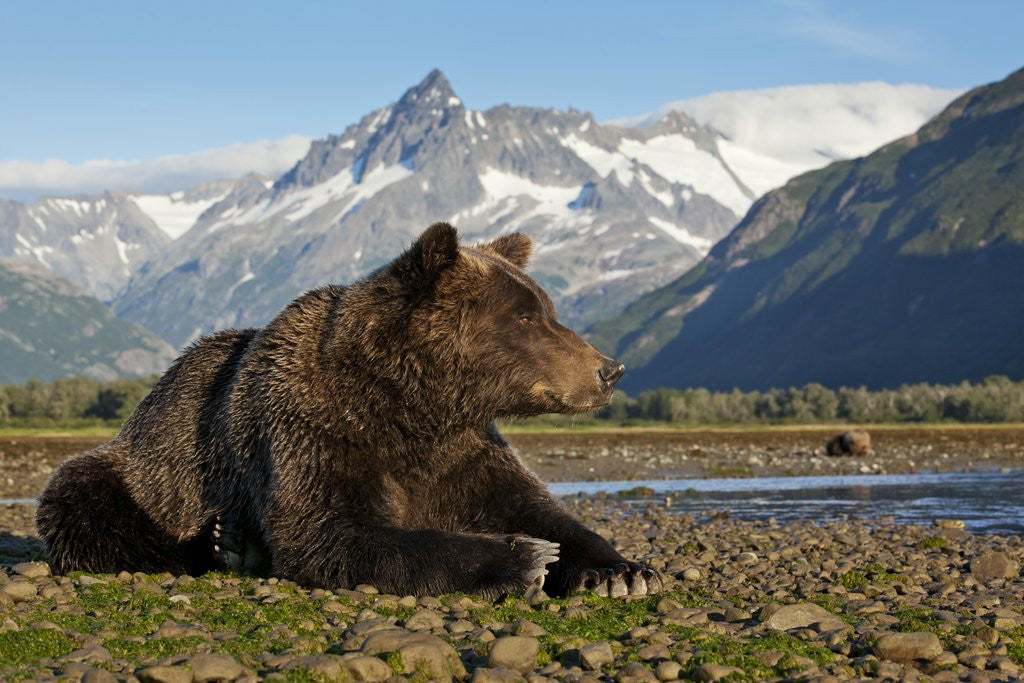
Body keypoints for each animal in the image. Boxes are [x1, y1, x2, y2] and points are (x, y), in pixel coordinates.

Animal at [37, 222, 662, 599]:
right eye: (526, 316)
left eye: (548, 308)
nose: (609, 369)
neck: (415, 407)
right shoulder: (315, 431)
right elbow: (333, 532)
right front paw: (522, 557)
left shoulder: (464, 450)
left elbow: (538, 507)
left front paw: (622, 571)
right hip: (147, 466)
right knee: (88, 506)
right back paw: (224, 544)